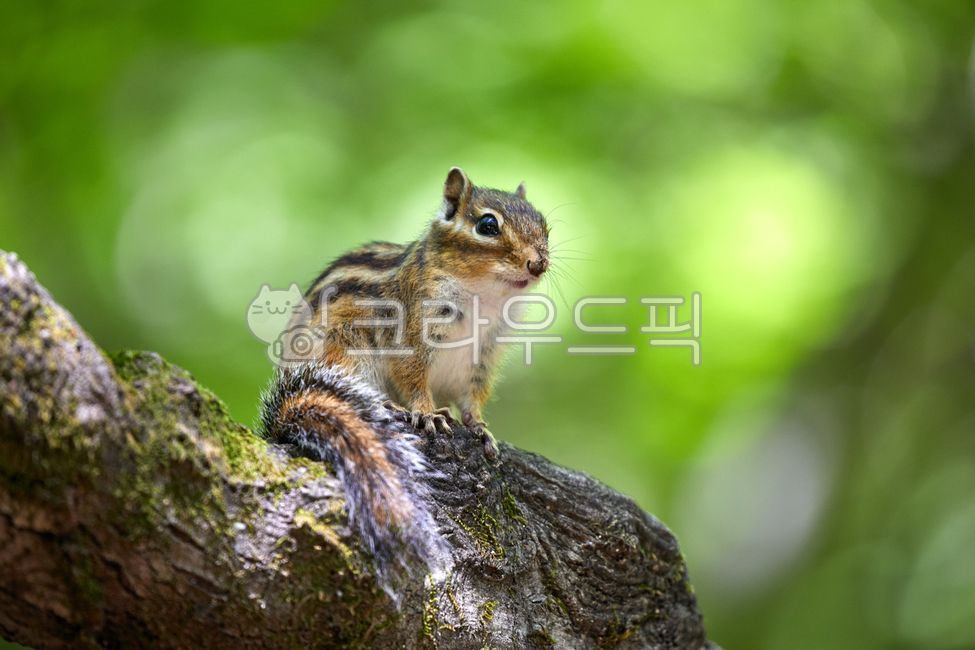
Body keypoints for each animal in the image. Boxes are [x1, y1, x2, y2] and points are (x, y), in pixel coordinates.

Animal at [260, 167, 550, 579]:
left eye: (543, 223)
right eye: (488, 225)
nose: (538, 263)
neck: (485, 297)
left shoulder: (484, 356)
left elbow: (472, 399)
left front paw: (480, 427)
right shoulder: (410, 333)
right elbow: (413, 379)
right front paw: (426, 413)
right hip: (343, 350)